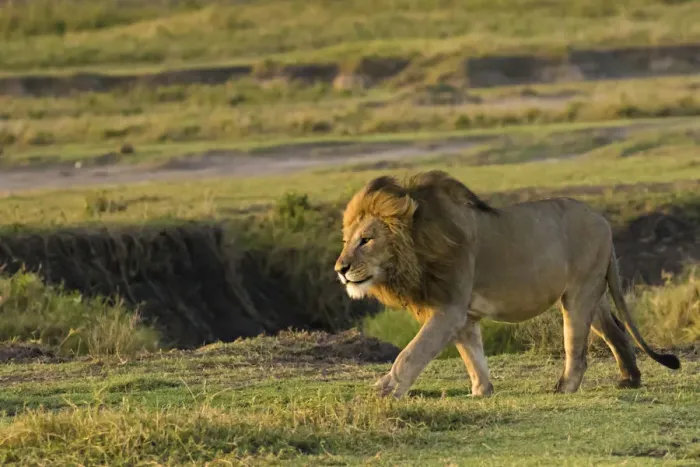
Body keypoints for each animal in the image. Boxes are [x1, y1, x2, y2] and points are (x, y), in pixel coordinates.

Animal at [334, 170, 680, 399]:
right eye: (346, 241)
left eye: (366, 240)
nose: (340, 269)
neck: (417, 247)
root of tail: (603, 220)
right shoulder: (462, 315)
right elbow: (472, 355)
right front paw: (481, 391)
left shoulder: (449, 308)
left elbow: (411, 353)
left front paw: (383, 392)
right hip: (593, 293)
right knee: (616, 331)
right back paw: (630, 379)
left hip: (580, 294)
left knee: (577, 350)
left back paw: (564, 387)